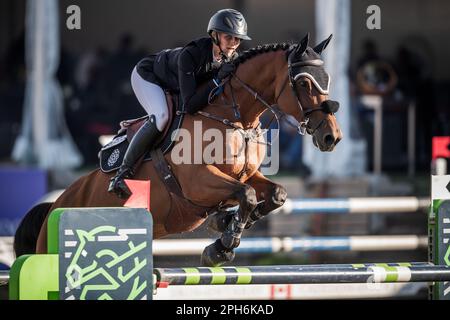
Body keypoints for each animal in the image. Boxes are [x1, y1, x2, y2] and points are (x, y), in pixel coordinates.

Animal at [16, 33, 342, 268]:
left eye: (327, 79)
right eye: (303, 82)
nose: (332, 137)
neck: (236, 119)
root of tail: (54, 207)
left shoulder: (247, 175)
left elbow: (275, 194)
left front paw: (226, 226)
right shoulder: (198, 183)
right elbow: (246, 195)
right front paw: (222, 246)